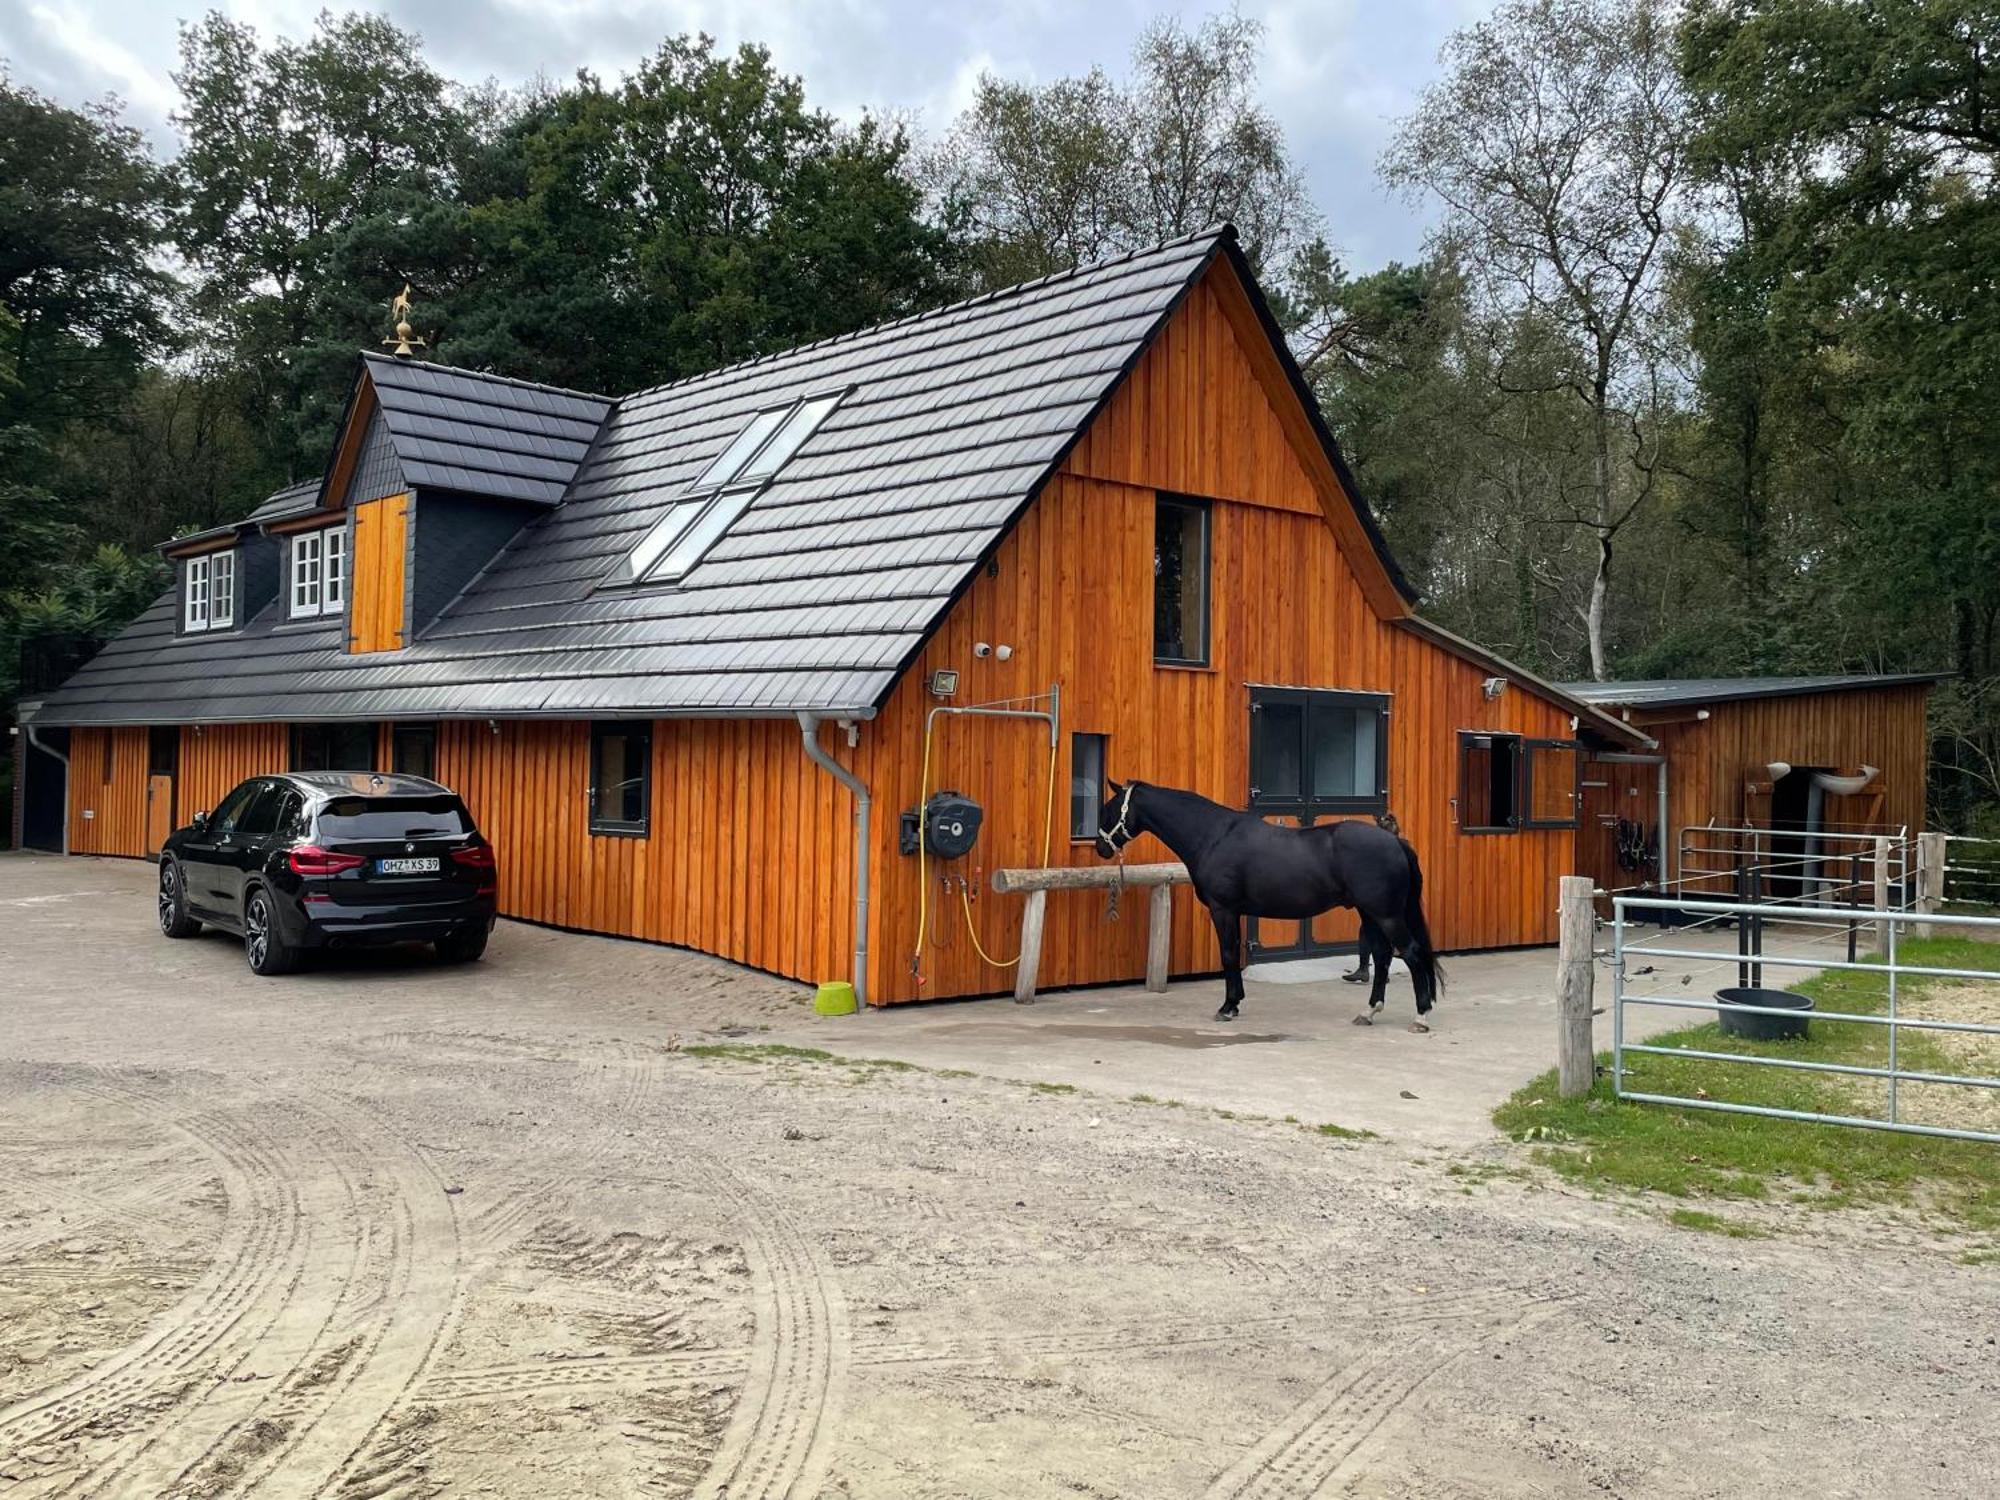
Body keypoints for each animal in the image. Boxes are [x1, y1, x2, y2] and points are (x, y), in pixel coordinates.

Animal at [1096, 780, 1440, 1032]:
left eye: (1109, 810)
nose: (1101, 848)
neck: (1214, 835)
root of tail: (1395, 842)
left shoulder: (1223, 909)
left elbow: (1228, 954)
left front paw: (1227, 1007)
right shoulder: (1234, 911)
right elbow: (1232, 954)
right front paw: (1235, 1003)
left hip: (1386, 915)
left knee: (1410, 953)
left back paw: (1421, 1017)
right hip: (1370, 913)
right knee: (1382, 957)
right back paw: (1368, 1012)